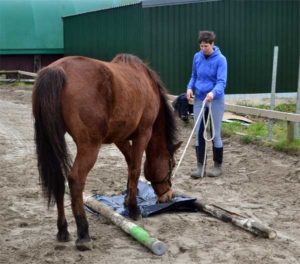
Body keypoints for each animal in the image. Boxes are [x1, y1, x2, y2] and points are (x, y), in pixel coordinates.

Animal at [31, 53, 182, 250]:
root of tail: (56, 69)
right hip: (90, 146)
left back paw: (63, 230)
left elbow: (130, 164)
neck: (146, 82)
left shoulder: (120, 138)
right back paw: (83, 233)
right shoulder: (143, 134)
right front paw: (133, 208)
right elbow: (135, 169)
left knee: (58, 181)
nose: (169, 195)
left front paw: (127, 200)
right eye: (171, 165)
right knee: (75, 180)